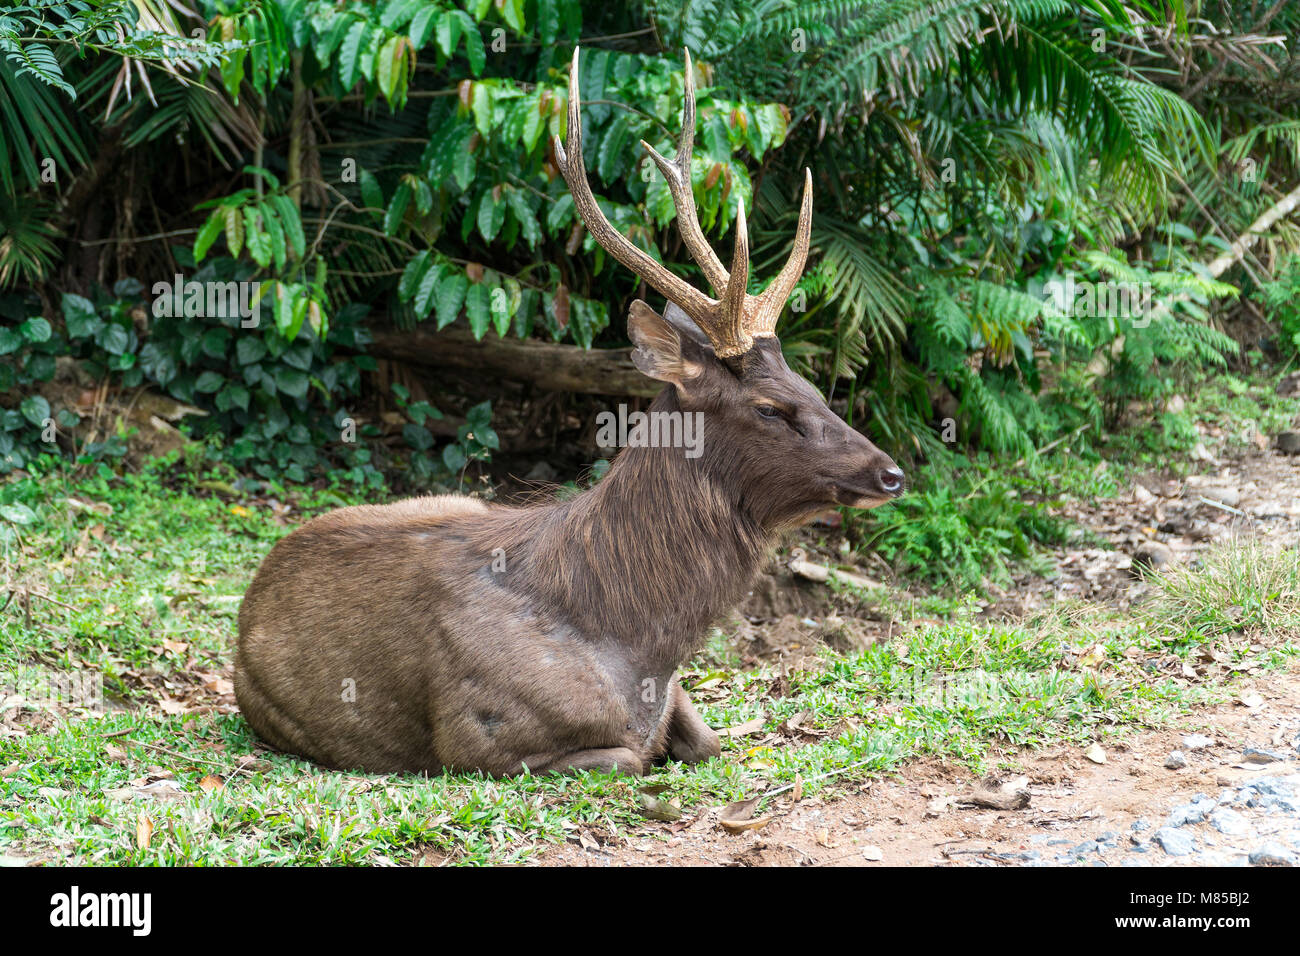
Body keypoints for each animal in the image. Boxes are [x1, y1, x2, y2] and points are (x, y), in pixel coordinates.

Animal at [233, 46, 904, 780]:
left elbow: (708, 740)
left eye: (810, 385)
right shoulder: (480, 740)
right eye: (771, 408)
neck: (638, 647)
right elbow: (631, 758)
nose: (891, 473)